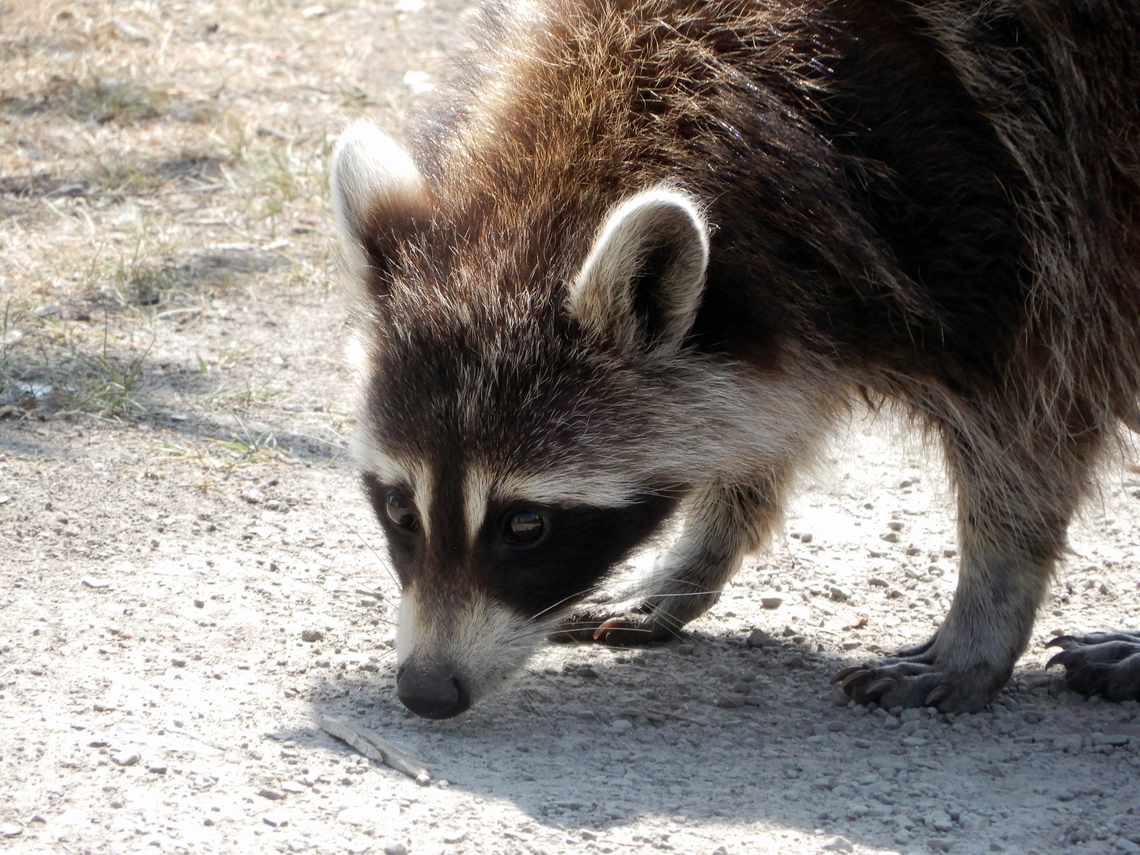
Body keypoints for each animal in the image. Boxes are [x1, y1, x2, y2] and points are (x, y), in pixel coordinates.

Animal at [331, 0, 1140, 719]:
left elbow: (1030, 425)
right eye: (400, 507)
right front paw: (701, 552)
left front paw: (987, 613)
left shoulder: (1011, 206)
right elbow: (760, 422)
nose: (427, 691)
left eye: (526, 524)